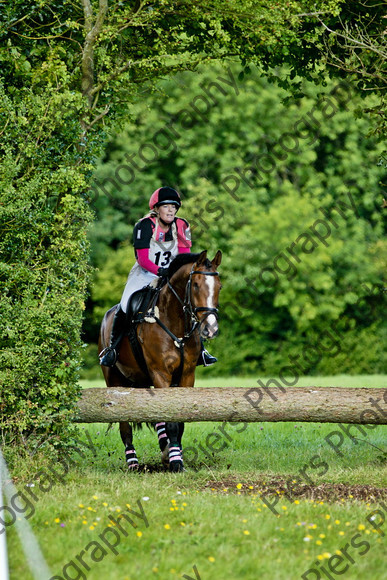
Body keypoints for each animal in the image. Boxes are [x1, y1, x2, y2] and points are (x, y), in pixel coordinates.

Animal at [98, 249, 223, 472]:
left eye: (219, 286)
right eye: (196, 284)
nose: (211, 329)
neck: (174, 321)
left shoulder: (186, 375)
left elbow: (177, 420)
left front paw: (172, 454)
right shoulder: (160, 373)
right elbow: (170, 420)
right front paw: (176, 462)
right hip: (114, 378)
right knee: (124, 423)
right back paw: (133, 463)